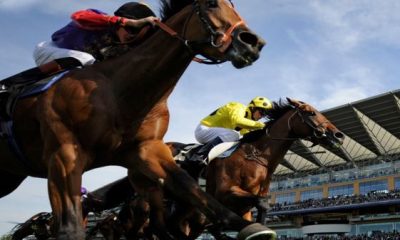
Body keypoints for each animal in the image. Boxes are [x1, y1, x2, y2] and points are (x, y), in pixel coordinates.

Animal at [0, 0, 270, 239]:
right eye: (212, 3)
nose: (254, 43)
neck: (120, 91)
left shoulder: (146, 150)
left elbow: (196, 193)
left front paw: (250, 227)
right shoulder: (63, 154)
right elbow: (70, 228)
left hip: (10, 175)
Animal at [167, 97, 346, 238]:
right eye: (311, 113)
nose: (339, 135)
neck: (256, 156)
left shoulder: (244, 208)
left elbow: (260, 208)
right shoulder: (225, 192)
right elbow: (262, 203)